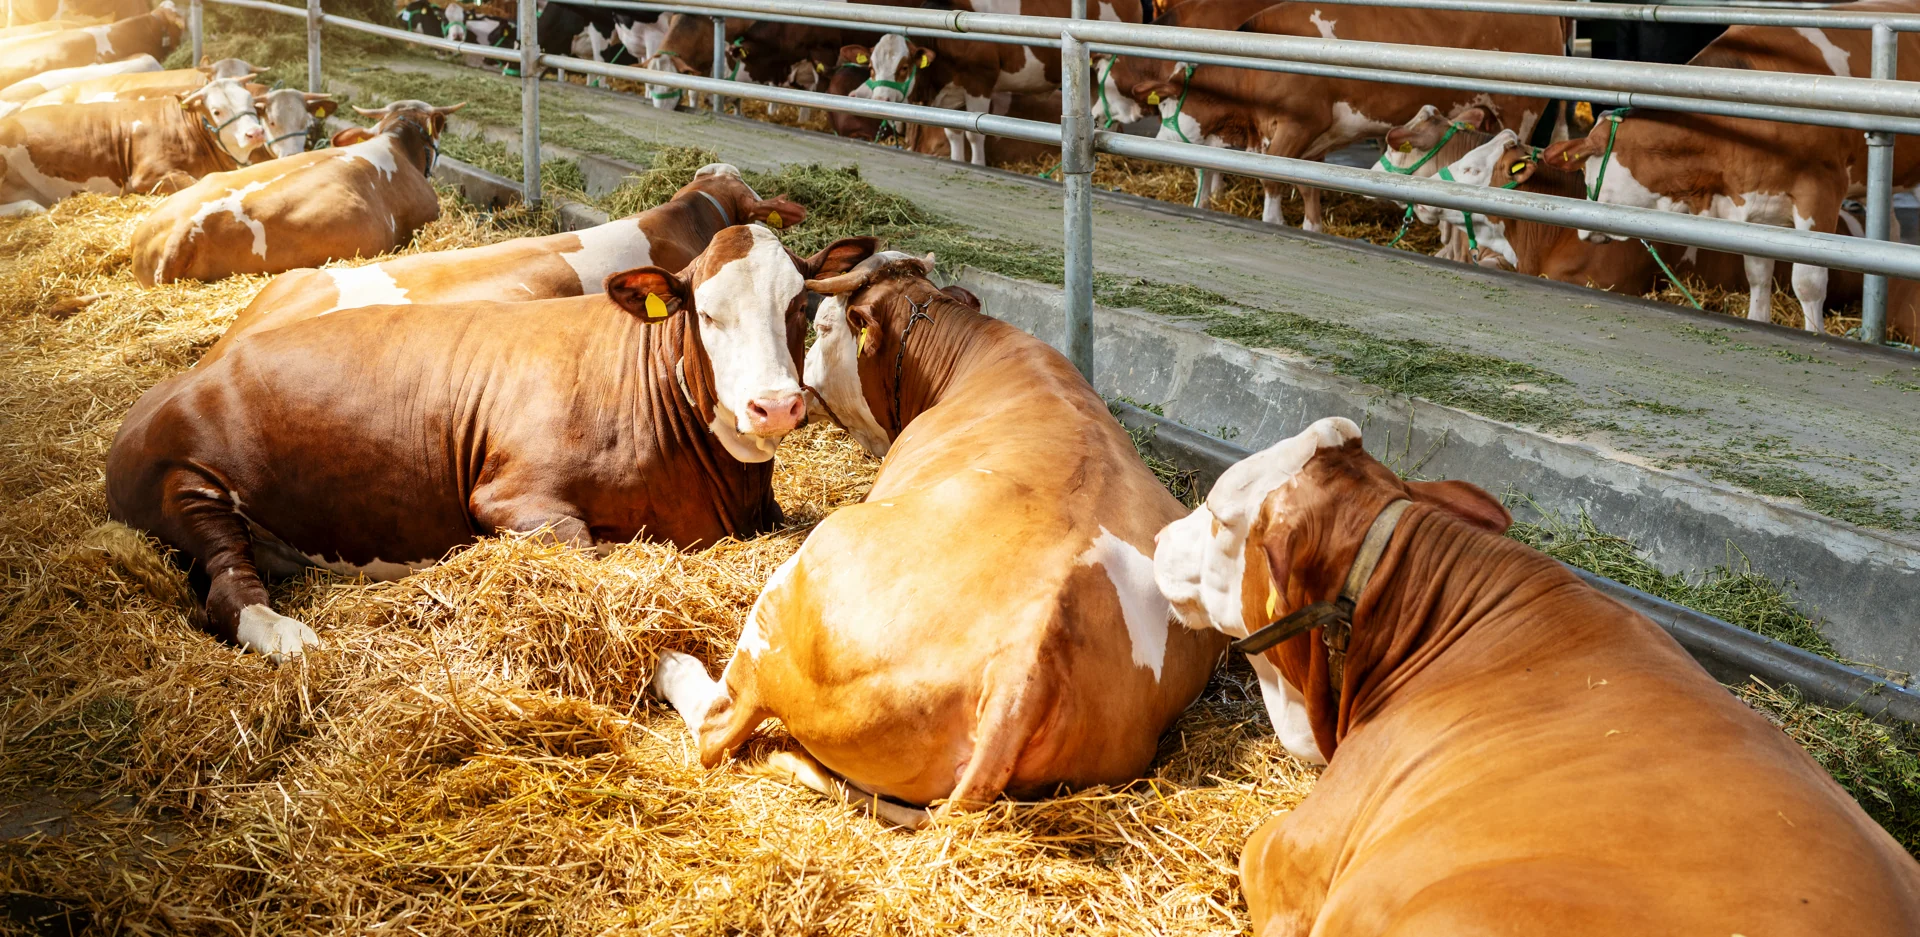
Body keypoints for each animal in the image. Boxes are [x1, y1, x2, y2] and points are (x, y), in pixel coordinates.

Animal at [0, 77, 266, 215]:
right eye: (217, 111)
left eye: (250, 101)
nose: (255, 133)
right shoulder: (147, 175)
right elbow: (195, 182)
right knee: (30, 206)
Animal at [106, 229, 880, 660]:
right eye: (707, 312)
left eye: (799, 305)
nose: (775, 405)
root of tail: (171, 386)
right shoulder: (516, 499)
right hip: (188, 490)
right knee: (227, 586)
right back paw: (290, 638)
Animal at [650, 251, 1230, 827]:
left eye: (823, 326)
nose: (802, 388)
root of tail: (1024, 665)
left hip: (794, 590)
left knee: (717, 728)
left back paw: (669, 666)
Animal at [1125, 3, 1561, 231]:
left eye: (1167, 106)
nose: (1158, 143)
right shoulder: (1309, 138)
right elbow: (1308, 185)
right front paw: (1312, 227)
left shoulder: (1298, 127)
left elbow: (1272, 178)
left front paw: (1273, 221)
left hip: (1519, 111)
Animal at [1541, 7, 1920, 333]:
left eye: (1590, 174)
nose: (1586, 233)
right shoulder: (1753, 207)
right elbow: (1757, 272)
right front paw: (1758, 320)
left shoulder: (1819, 193)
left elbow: (1808, 282)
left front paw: (1815, 334)